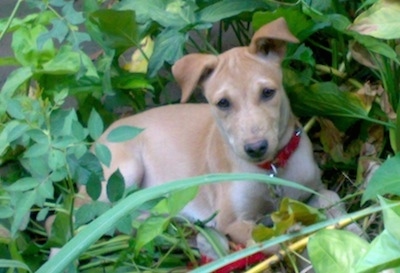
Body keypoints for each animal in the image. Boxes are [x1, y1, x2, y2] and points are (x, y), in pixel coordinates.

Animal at [83, 17, 348, 246]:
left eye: (268, 92)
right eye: (223, 103)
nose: (256, 148)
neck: (272, 169)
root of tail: (100, 136)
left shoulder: (314, 189)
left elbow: (333, 201)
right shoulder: (230, 221)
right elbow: (264, 241)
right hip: (122, 173)